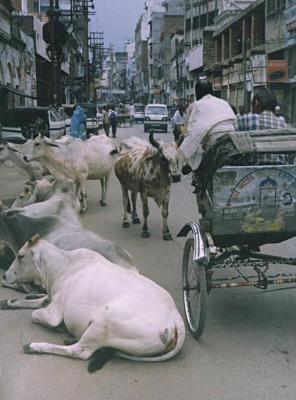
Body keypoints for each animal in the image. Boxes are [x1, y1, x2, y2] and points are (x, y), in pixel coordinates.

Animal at [2, 238, 185, 372]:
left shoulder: (54, 312)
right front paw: (9, 302)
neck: (63, 267)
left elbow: (35, 314)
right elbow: (37, 301)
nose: (4, 276)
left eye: (20, 256)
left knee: (79, 351)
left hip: (102, 323)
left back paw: (34, 346)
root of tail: (175, 317)